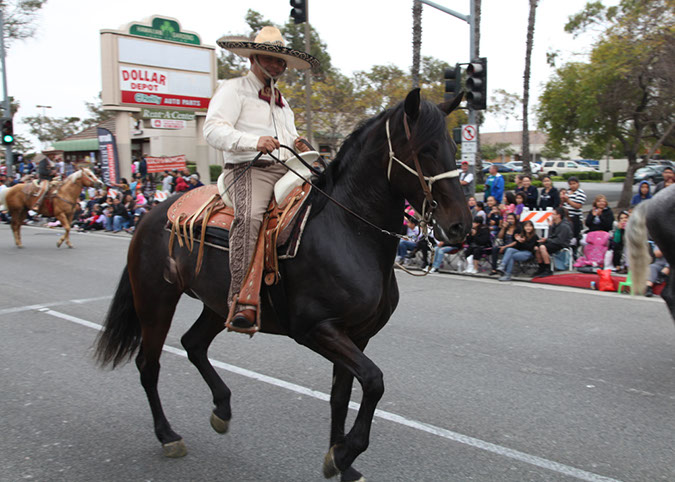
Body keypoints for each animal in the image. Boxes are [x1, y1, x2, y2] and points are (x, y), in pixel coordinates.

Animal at [95, 88, 472, 480]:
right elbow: (373, 381)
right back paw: (168, 435)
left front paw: (340, 460)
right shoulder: (316, 329)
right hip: (155, 301)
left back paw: (222, 409)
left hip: (218, 305)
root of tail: (150, 214)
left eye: (452, 146)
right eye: (425, 149)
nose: (460, 224)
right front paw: (345, 452)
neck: (347, 229)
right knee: (148, 365)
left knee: (193, 344)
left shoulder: (356, 335)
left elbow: (342, 396)